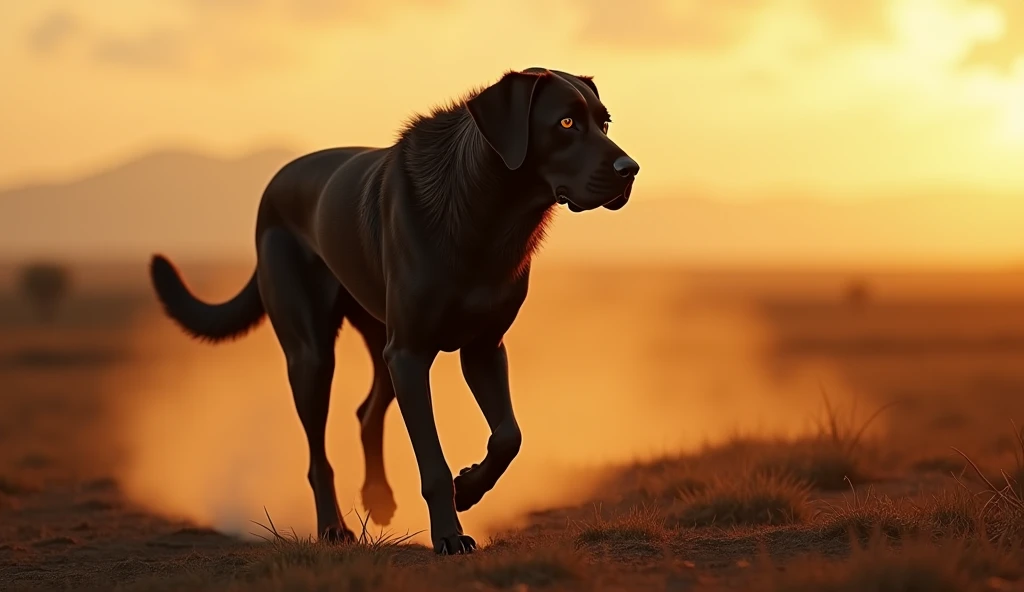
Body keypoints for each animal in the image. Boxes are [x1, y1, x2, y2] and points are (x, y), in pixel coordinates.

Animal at [149, 66, 638, 548]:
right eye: (566, 123)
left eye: (605, 123)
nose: (630, 169)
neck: (489, 216)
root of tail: (273, 188)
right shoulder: (410, 353)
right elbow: (433, 461)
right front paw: (450, 535)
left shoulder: (482, 349)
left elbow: (508, 436)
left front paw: (469, 487)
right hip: (314, 355)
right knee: (318, 455)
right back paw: (333, 529)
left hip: (380, 344)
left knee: (366, 413)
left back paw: (378, 498)